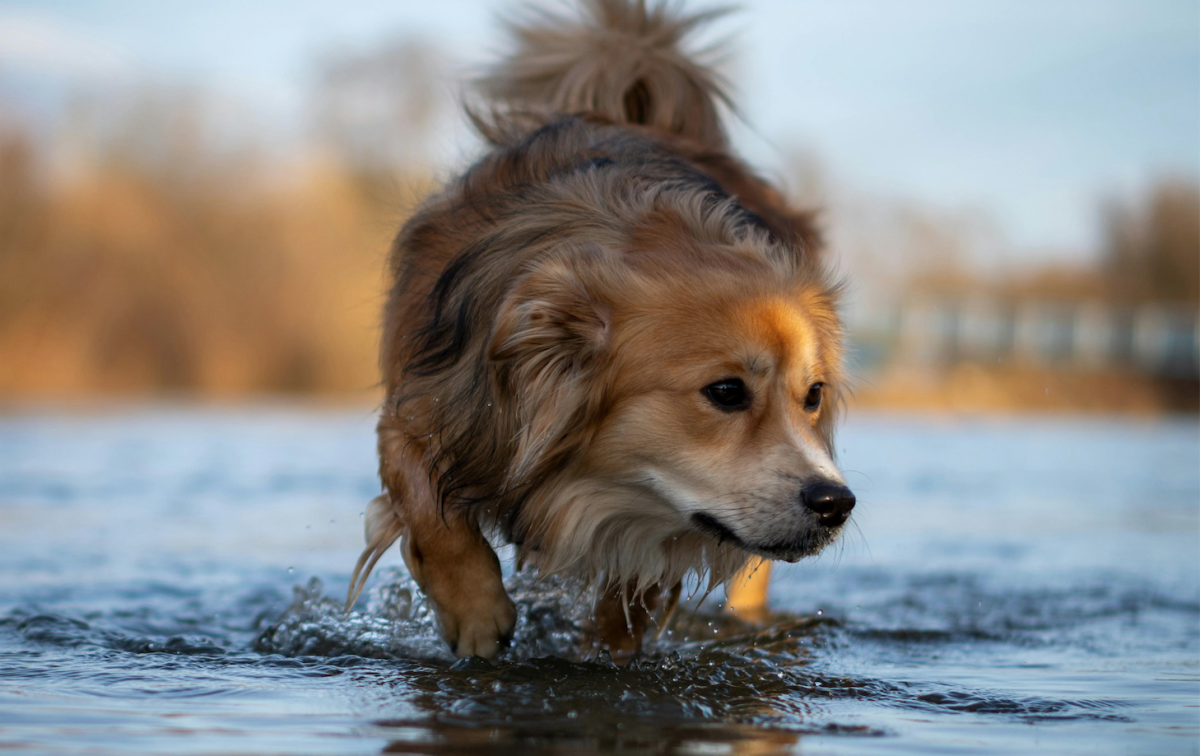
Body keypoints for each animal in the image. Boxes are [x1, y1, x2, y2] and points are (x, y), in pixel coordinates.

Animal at [345, 0, 854, 662]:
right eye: (725, 392)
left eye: (813, 396)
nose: (836, 502)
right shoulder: (429, 403)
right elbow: (429, 505)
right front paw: (475, 613)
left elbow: (633, 595)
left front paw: (603, 646)